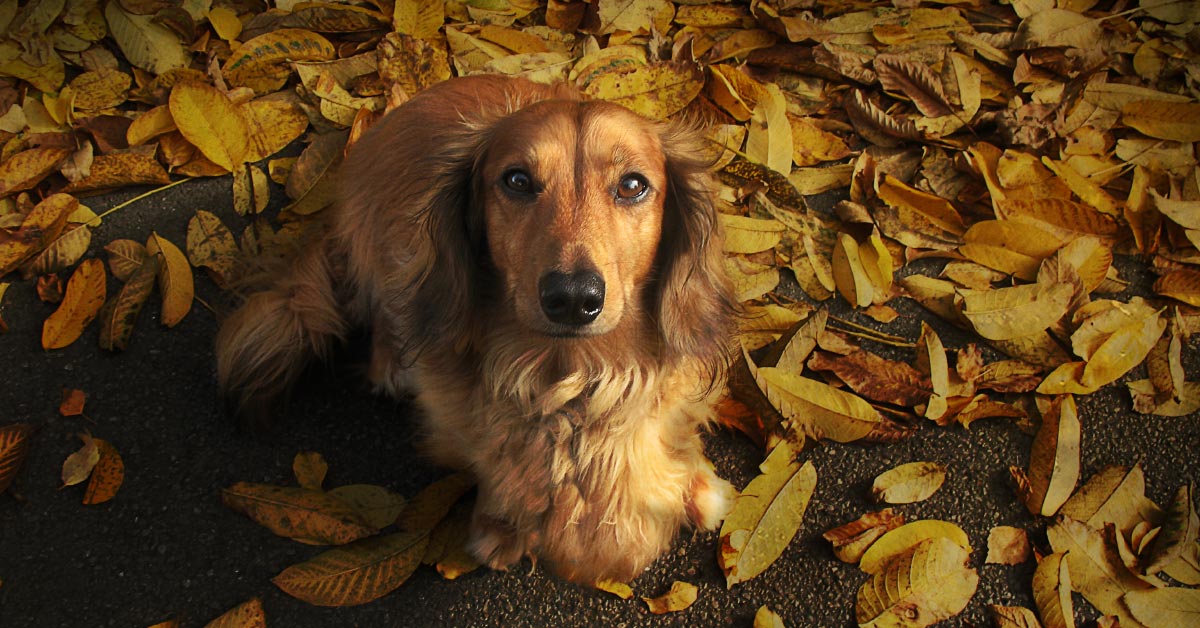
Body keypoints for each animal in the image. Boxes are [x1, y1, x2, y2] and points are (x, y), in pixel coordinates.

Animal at [217, 75, 739, 585]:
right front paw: (500, 526)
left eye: (632, 185)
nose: (573, 299)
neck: (570, 387)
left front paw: (694, 486)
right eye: (517, 180)